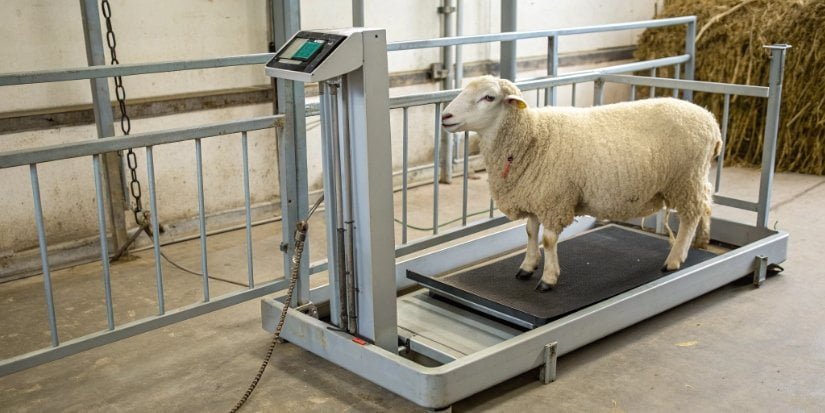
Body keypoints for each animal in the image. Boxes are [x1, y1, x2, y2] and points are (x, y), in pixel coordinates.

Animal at [441, 76, 722, 292]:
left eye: (488, 97)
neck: (531, 137)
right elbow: (530, 232)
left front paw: (548, 278)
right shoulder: (535, 195)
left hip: (686, 178)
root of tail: (711, 119)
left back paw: (675, 259)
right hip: (693, 178)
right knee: (707, 201)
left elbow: (548, 240)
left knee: (691, 215)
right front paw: (527, 266)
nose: (445, 116)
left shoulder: (555, 199)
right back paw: (702, 239)